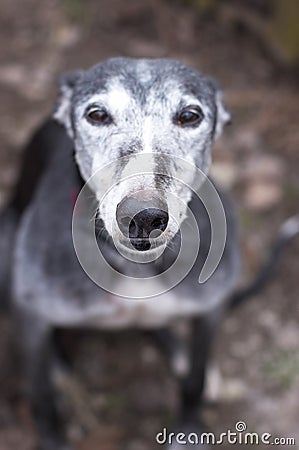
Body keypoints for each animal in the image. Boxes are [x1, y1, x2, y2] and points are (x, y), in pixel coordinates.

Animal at [1, 59, 298, 450]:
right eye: (97, 114)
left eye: (189, 116)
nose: (143, 218)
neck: (135, 266)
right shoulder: (33, 316)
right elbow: (42, 396)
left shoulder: (211, 311)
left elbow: (195, 380)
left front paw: (189, 432)